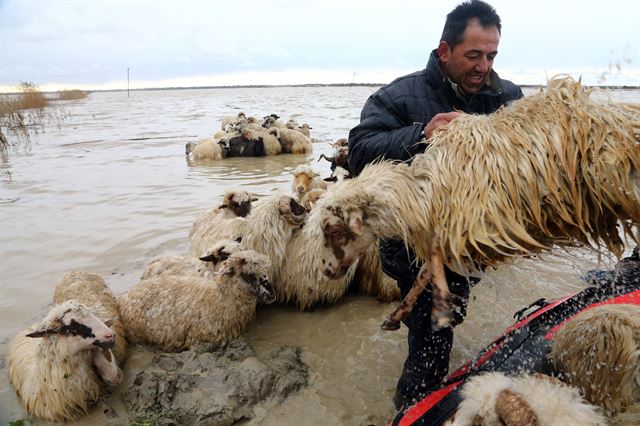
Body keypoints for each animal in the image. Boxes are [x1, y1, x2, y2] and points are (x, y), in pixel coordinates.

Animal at [304, 75, 640, 330]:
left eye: (334, 230)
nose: (326, 272)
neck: (423, 191)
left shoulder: (470, 221)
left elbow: (430, 270)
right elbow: (426, 272)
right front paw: (401, 314)